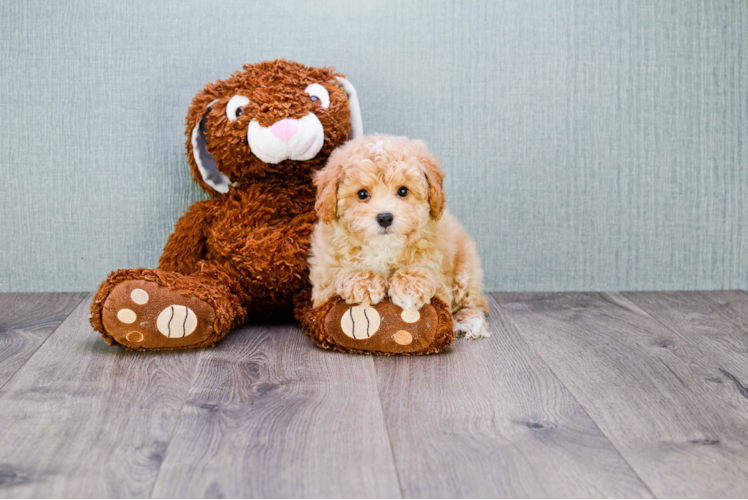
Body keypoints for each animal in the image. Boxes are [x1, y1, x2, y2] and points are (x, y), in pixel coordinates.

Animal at [306, 135, 488, 338]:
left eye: (403, 191)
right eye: (362, 194)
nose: (385, 217)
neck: (384, 247)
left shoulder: (439, 268)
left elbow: (426, 273)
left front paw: (410, 285)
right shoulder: (323, 283)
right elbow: (337, 277)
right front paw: (365, 282)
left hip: (466, 268)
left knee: (474, 301)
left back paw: (470, 322)